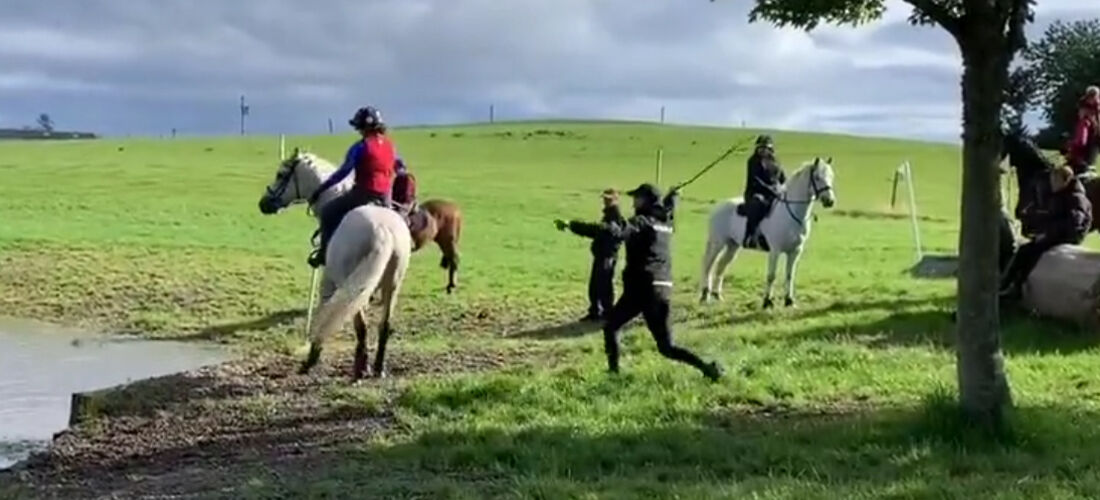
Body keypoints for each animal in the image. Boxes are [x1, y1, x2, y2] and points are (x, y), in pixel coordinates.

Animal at [258, 150, 464, 294]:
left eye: (280, 174)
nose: (263, 204)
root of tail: (454, 207)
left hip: (447, 242)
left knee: (454, 260)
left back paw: (451, 286)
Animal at [699, 158, 836, 309]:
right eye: (817, 177)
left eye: (831, 176)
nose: (830, 201)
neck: (791, 213)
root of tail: (718, 207)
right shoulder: (775, 251)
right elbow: (771, 275)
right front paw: (767, 301)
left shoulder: (795, 252)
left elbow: (790, 275)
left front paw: (789, 301)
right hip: (717, 243)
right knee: (708, 265)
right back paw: (705, 295)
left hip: (732, 246)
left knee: (721, 266)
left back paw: (717, 295)